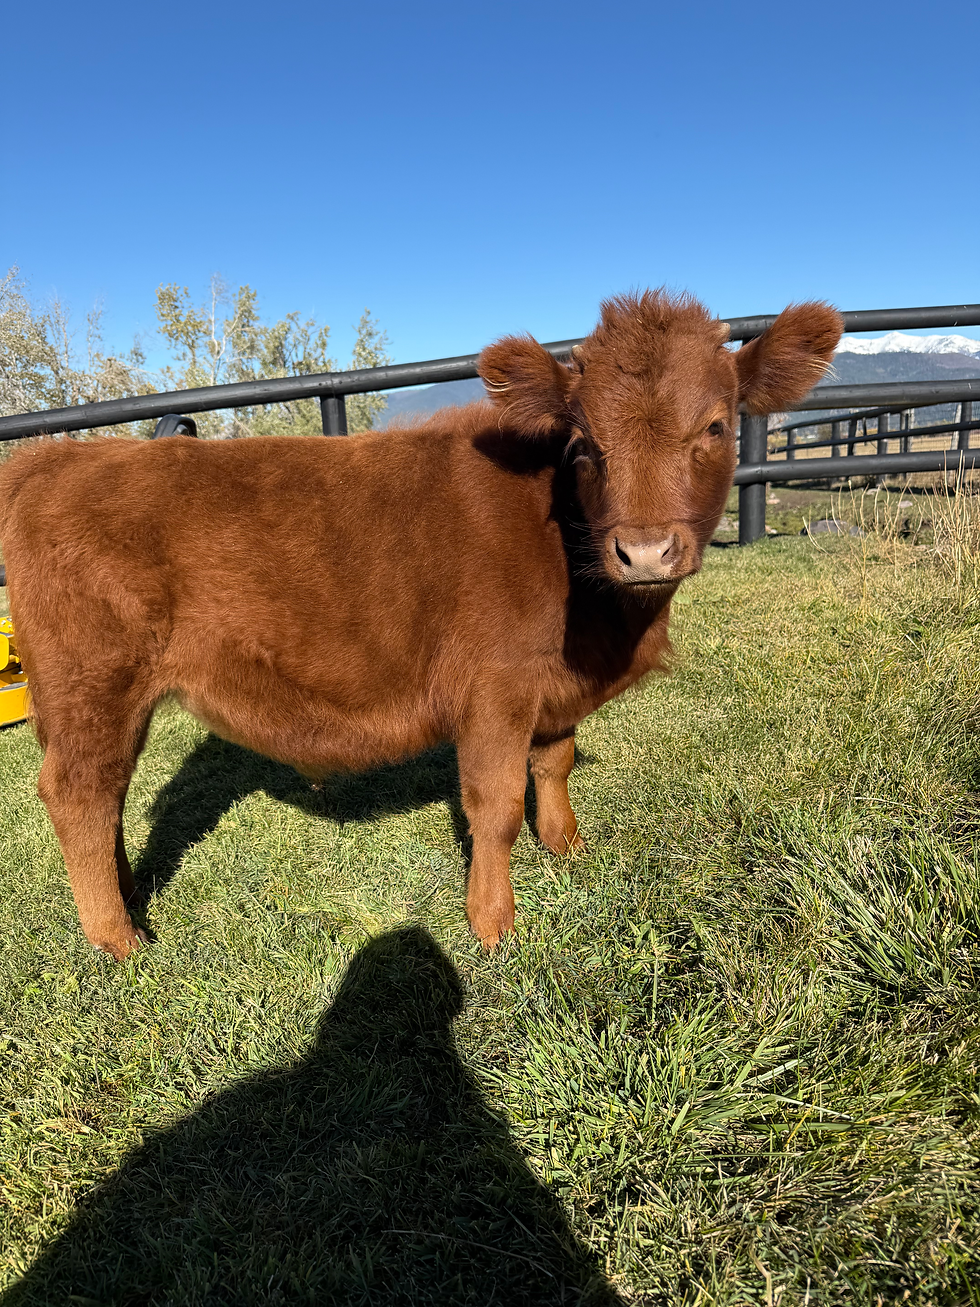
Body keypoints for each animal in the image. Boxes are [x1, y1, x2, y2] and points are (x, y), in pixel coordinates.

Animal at [0, 291, 842, 960]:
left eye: (715, 426)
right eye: (584, 442)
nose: (643, 551)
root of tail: (57, 458)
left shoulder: (552, 686)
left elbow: (555, 764)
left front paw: (568, 846)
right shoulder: (495, 687)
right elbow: (494, 805)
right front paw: (493, 921)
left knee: (106, 793)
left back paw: (128, 895)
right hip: (93, 682)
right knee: (78, 794)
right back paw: (120, 938)